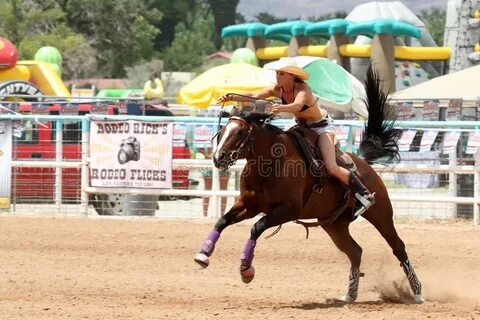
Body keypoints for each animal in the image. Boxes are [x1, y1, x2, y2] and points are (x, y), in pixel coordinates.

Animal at [193, 67, 422, 302]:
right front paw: (203, 254)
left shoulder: (287, 210)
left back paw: (416, 291)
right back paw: (349, 295)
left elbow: (256, 228)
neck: (272, 162)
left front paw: (246, 269)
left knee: (398, 247)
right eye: (222, 132)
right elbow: (222, 221)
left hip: (381, 214)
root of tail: (363, 162)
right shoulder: (249, 205)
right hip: (334, 224)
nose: (218, 158)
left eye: (239, 133)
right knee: (355, 251)